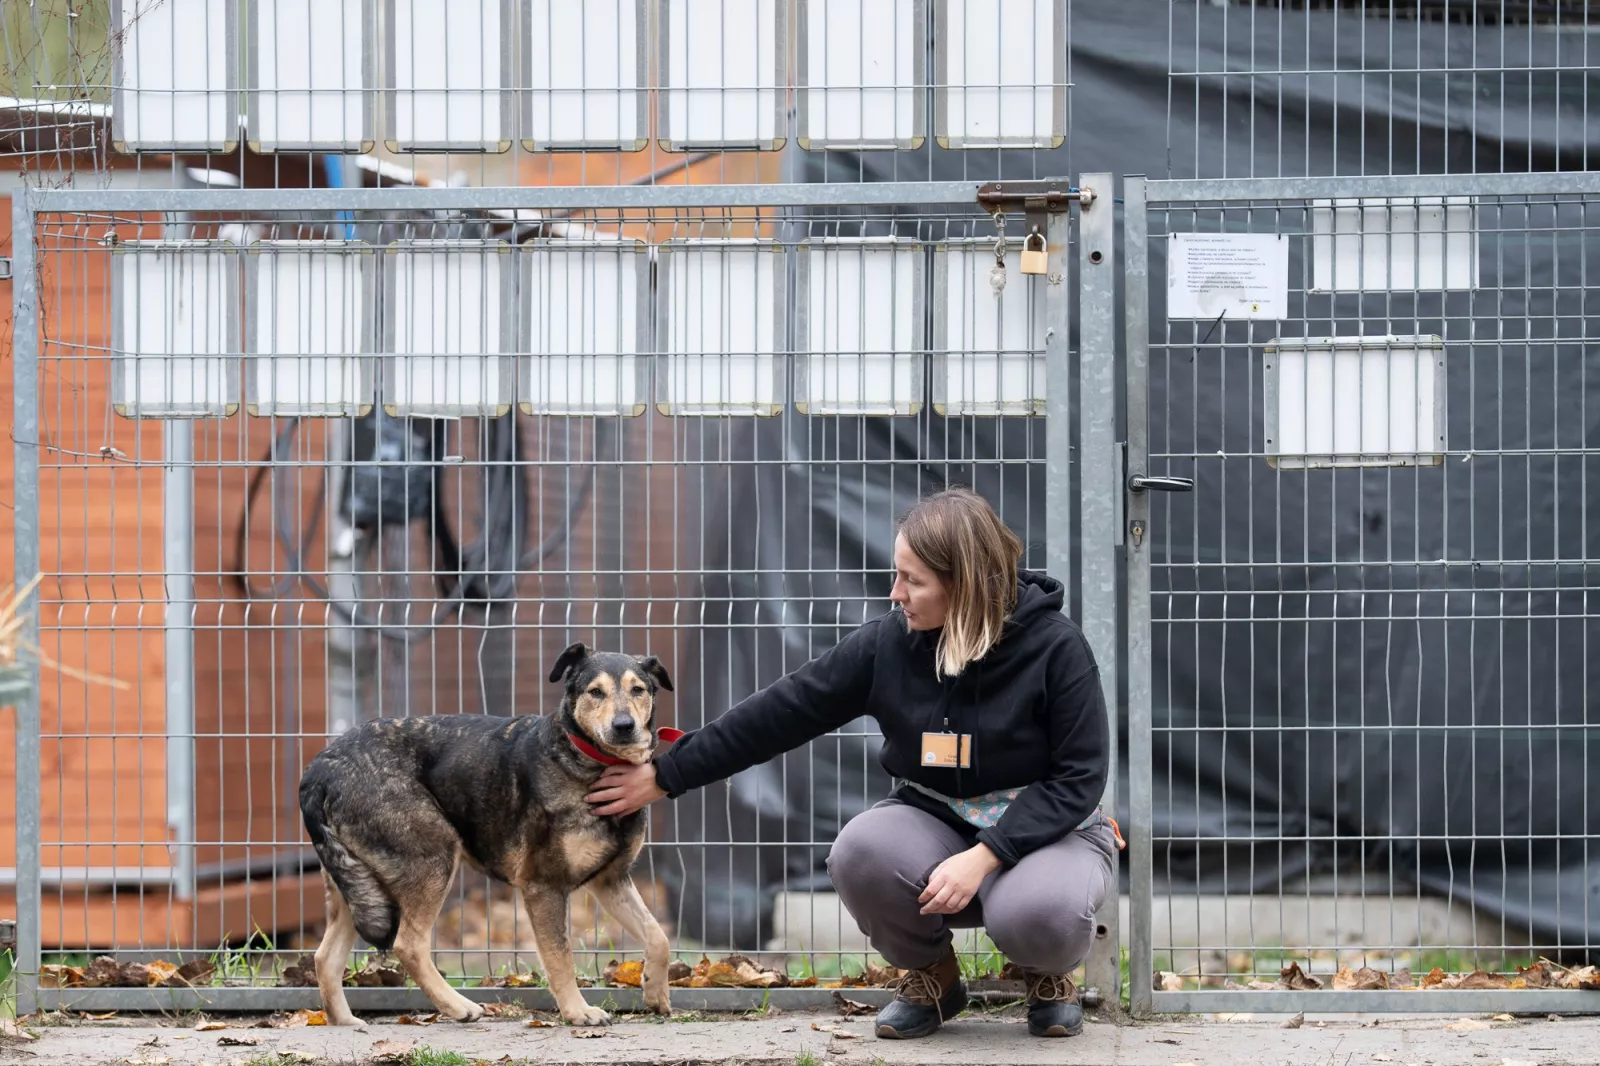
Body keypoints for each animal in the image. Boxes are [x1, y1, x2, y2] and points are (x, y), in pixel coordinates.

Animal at [297, 642, 677, 1027]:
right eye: (595, 692)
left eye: (638, 690)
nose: (624, 726)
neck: (586, 761)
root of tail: (319, 769)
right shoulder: (544, 886)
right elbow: (560, 956)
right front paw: (577, 1012)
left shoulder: (611, 880)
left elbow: (658, 936)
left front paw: (654, 991)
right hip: (432, 858)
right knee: (407, 945)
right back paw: (458, 1006)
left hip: (358, 886)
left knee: (325, 958)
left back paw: (346, 1022)